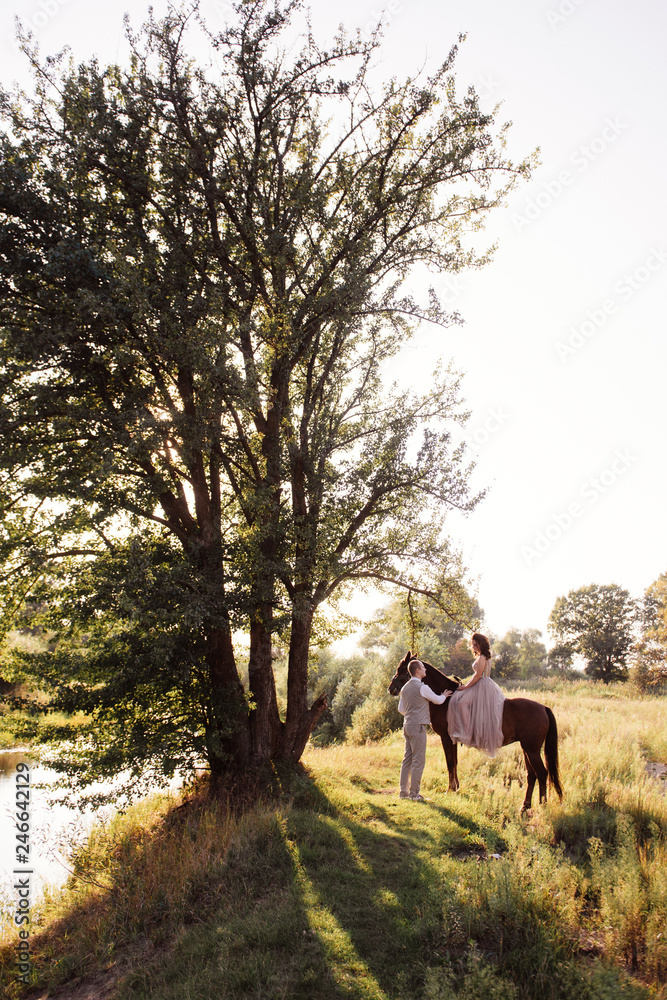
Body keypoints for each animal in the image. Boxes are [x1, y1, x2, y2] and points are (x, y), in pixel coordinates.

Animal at [388, 652, 560, 808]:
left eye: (400, 668)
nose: (391, 689)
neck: (446, 701)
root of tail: (543, 708)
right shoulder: (452, 740)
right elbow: (454, 763)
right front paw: (456, 788)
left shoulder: (446, 738)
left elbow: (450, 763)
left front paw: (450, 789)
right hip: (527, 750)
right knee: (532, 775)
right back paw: (525, 806)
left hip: (532, 750)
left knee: (542, 773)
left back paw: (542, 806)